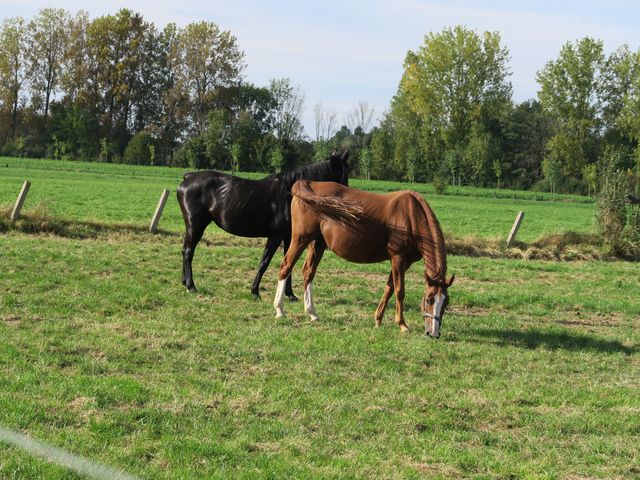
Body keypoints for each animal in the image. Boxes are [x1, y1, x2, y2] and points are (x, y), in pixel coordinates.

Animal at [176, 152, 350, 298]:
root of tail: (189, 177)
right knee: (188, 252)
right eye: (344, 173)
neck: (289, 194)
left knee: (185, 250)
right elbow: (264, 262)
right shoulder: (275, 236)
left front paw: (290, 295)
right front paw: (255, 291)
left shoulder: (288, 237)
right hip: (195, 225)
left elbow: (288, 264)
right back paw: (191, 286)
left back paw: (184, 282)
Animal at [272, 181, 452, 338]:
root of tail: (307, 183)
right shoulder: (398, 258)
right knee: (286, 267)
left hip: (318, 243)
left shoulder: (404, 262)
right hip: (300, 239)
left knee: (308, 273)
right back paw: (280, 310)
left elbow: (389, 288)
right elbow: (399, 291)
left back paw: (312, 313)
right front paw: (402, 325)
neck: (411, 216)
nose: (433, 333)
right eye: (428, 299)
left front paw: (378, 320)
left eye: (446, 303)